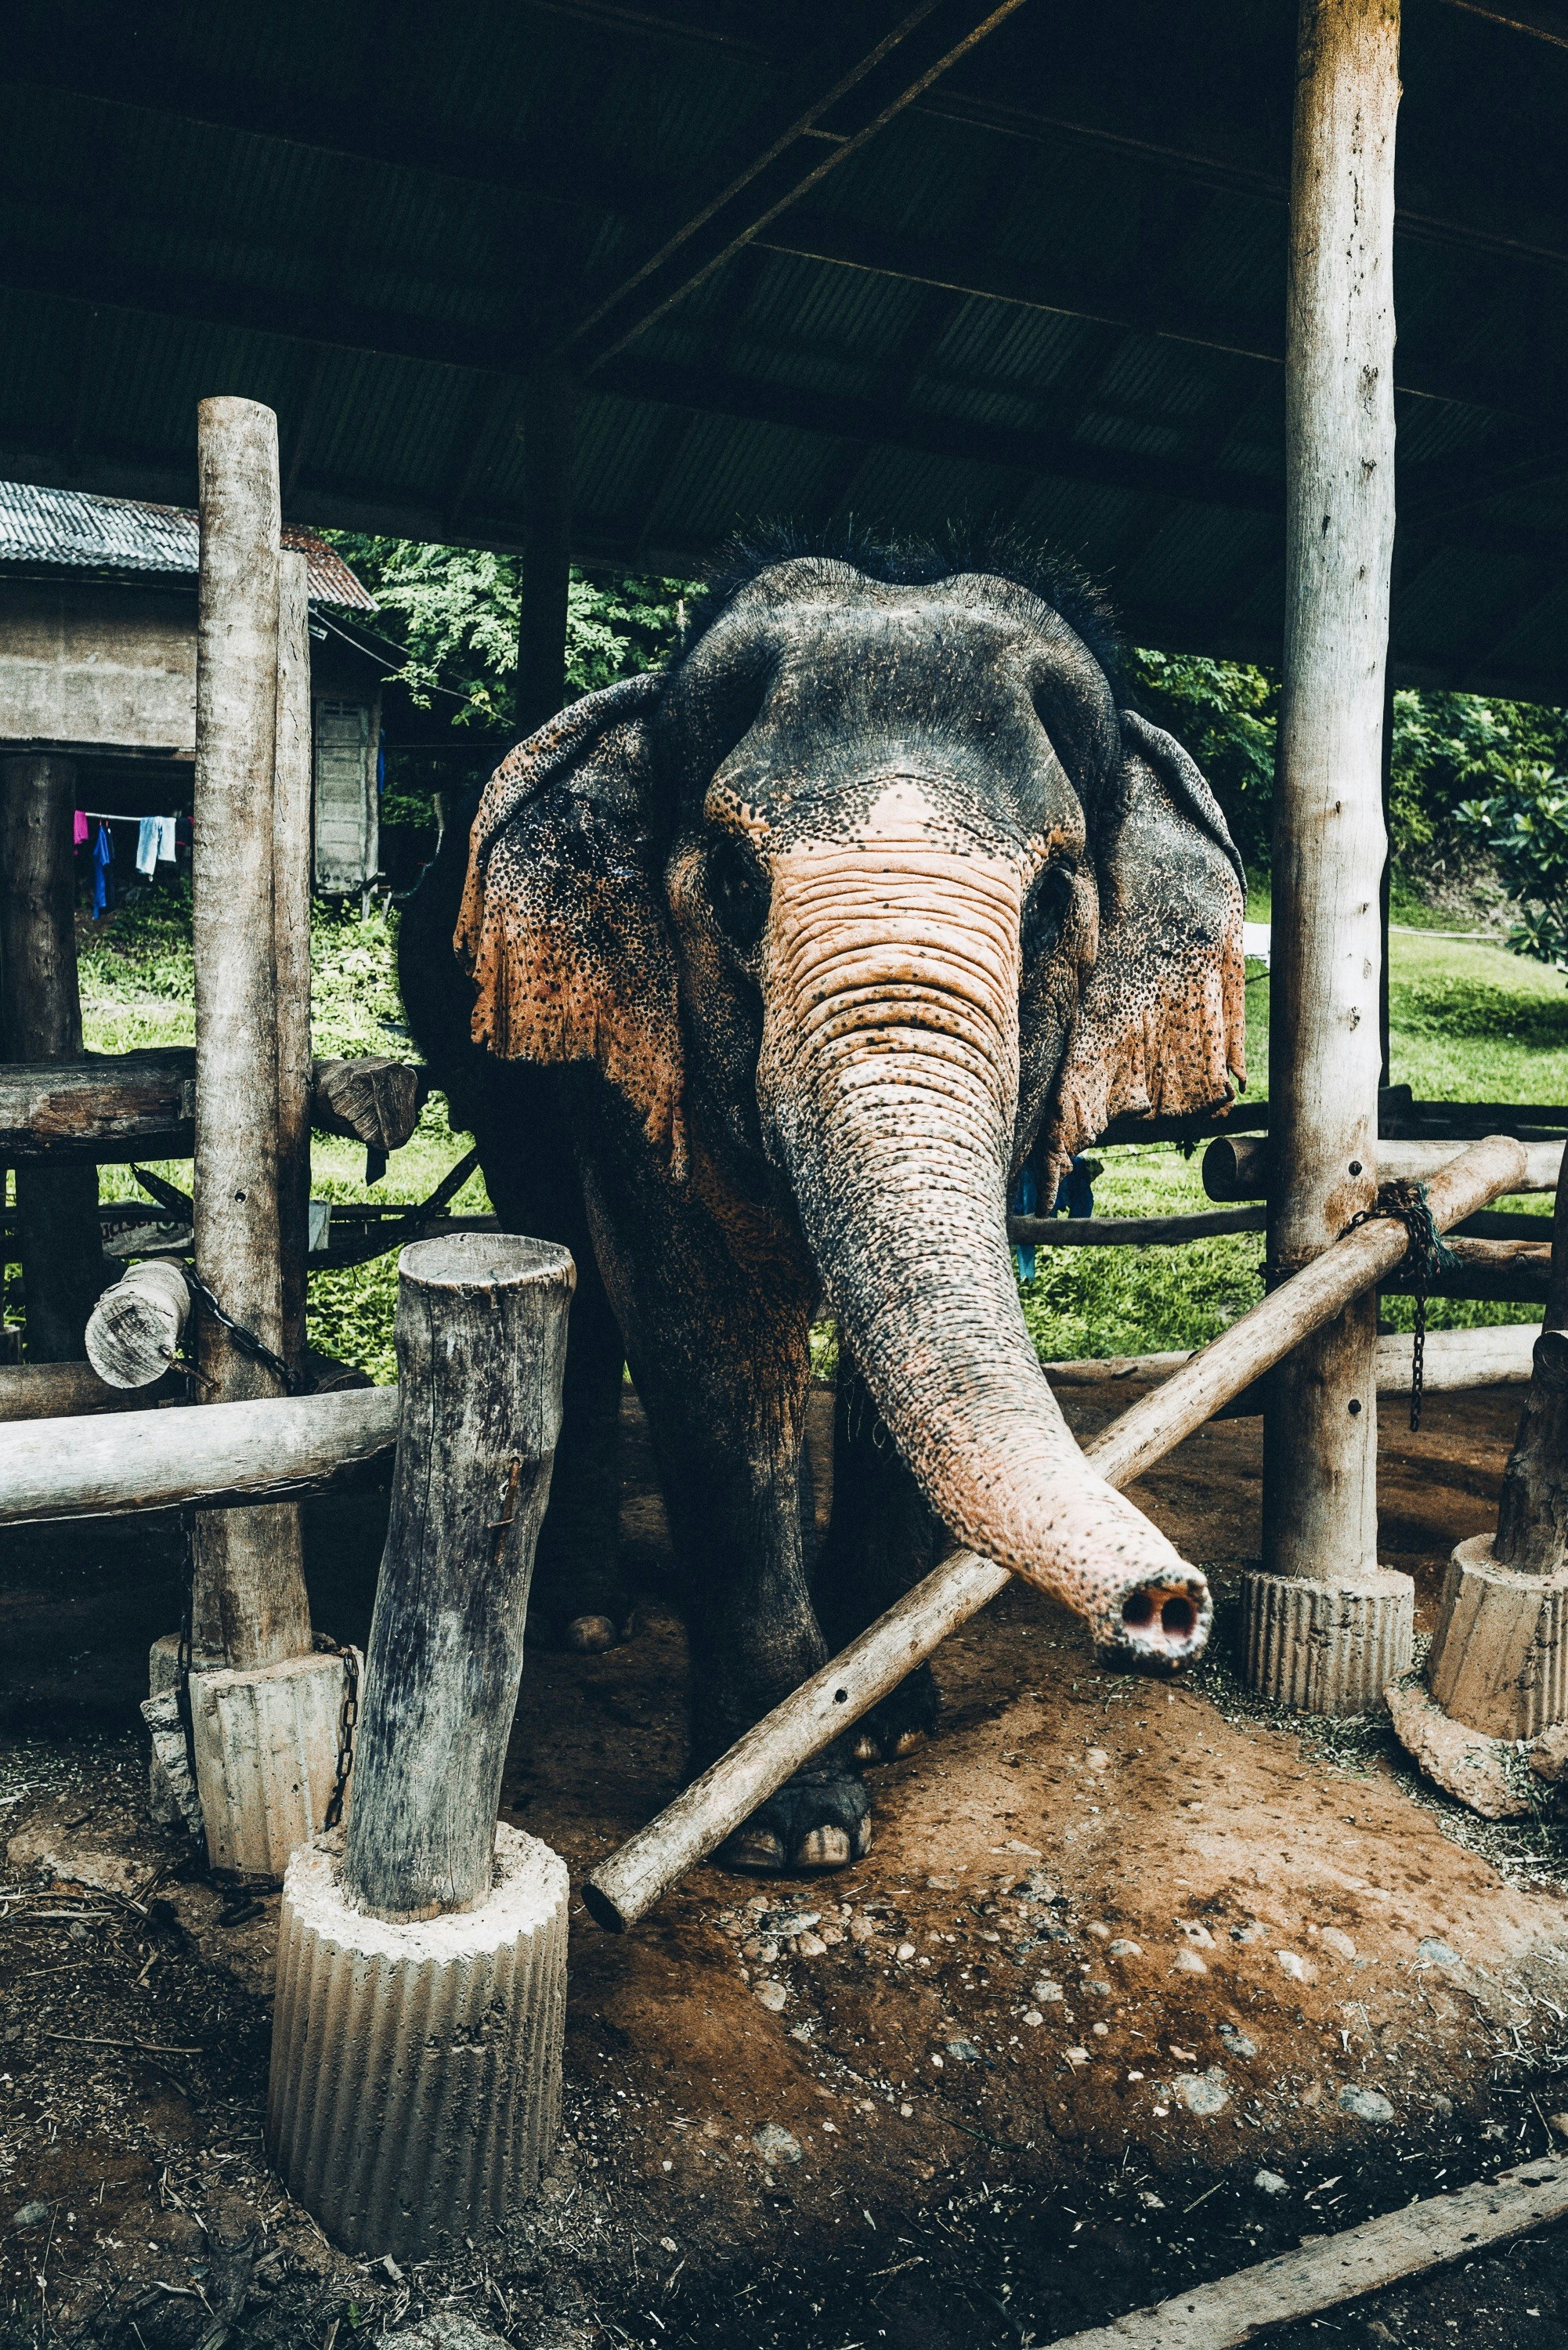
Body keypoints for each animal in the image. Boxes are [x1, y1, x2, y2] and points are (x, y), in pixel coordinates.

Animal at [398, 538, 1246, 1874]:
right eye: (739, 884)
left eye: (1052, 901)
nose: (1168, 1609)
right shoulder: (638, 1051)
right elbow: (695, 1318)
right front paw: (791, 1824)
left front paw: (887, 1721)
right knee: (559, 1257)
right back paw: (581, 1622)